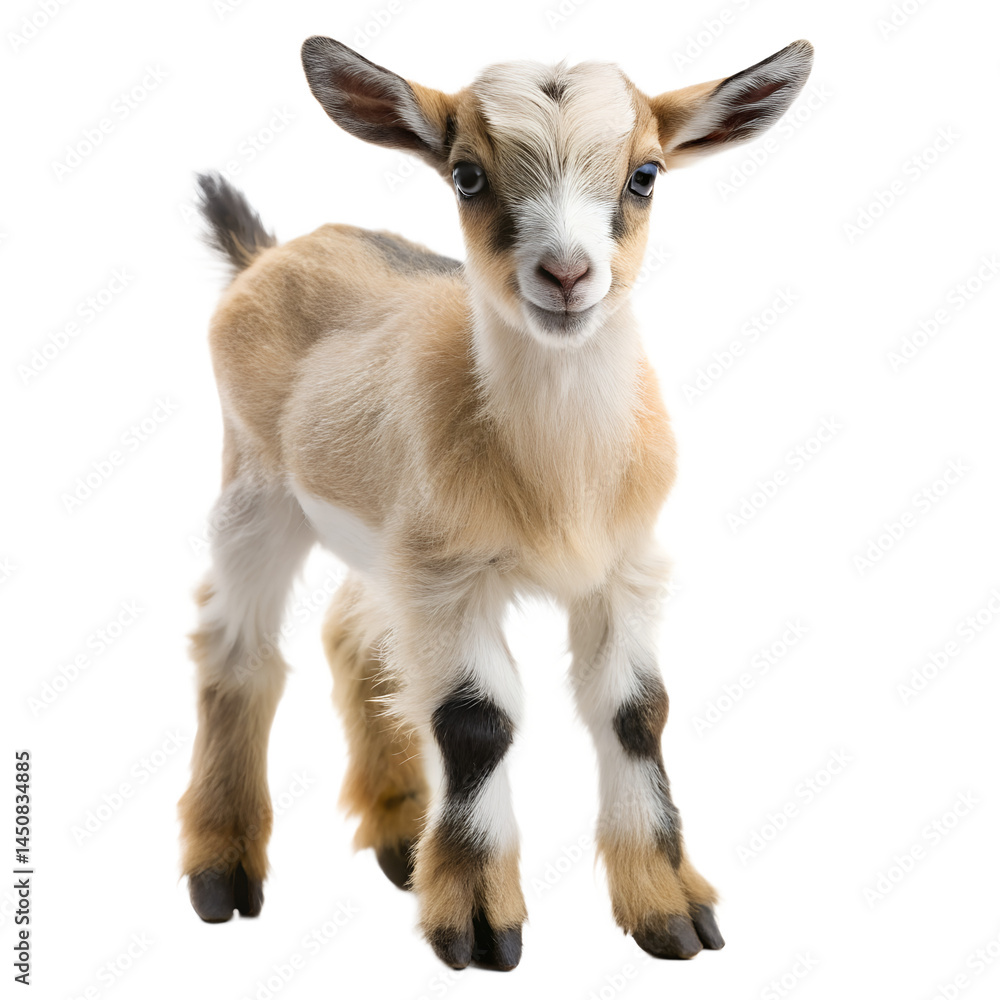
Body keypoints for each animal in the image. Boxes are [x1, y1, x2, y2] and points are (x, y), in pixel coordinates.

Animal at [178, 35, 814, 970]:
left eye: (646, 175)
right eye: (467, 176)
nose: (567, 274)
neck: (560, 477)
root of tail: (268, 254)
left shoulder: (619, 568)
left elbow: (636, 711)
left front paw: (671, 914)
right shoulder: (452, 575)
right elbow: (476, 720)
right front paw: (479, 924)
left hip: (380, 538)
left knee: (353, 635)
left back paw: (401, 839)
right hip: (257, 487)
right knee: (236, 648)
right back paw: (222, 873)